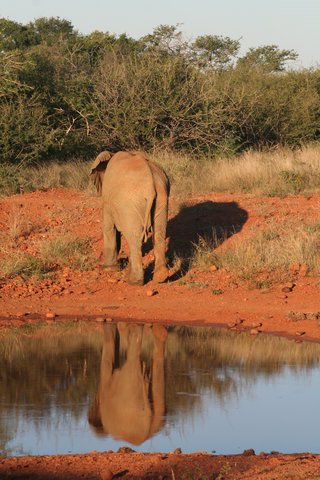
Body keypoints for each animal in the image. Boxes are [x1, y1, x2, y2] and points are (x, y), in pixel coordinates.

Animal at [90, 151, 170, 284]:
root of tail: (150, 185)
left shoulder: (108, 199)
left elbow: (109, 227)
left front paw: (107, 269)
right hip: (162, 196)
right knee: (159, 232)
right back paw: (161, 277)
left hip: (130, 202)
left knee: (134, 238)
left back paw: (134, 282)